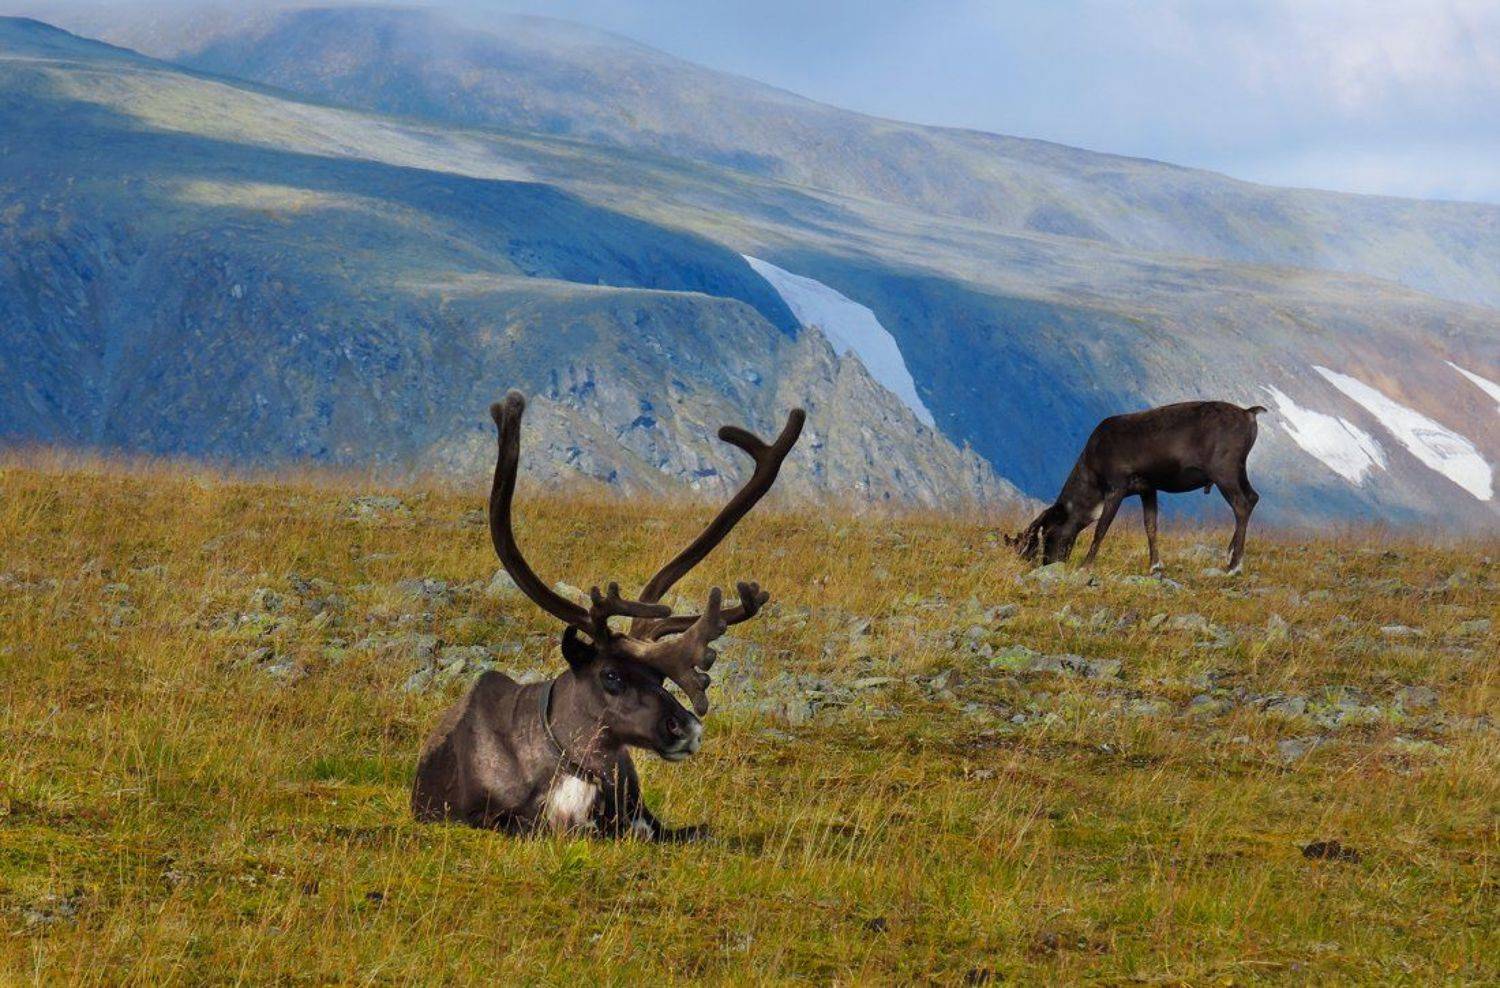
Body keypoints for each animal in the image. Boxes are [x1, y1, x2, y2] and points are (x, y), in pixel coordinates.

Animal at [1008, 400, 1265, 574]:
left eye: (1049, 532)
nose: (1047, 563)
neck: (1093, 477)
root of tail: (1249, 414)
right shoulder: (1147, 488)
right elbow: (1150, 526)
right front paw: (1155, 566)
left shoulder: (1117, 487)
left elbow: (1101, 528)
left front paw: (1086, 565)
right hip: (1237, 470)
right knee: (1253, 497)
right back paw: (1229, 555)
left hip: (1224, 471)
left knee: (1242, 504)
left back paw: (1234, 565)